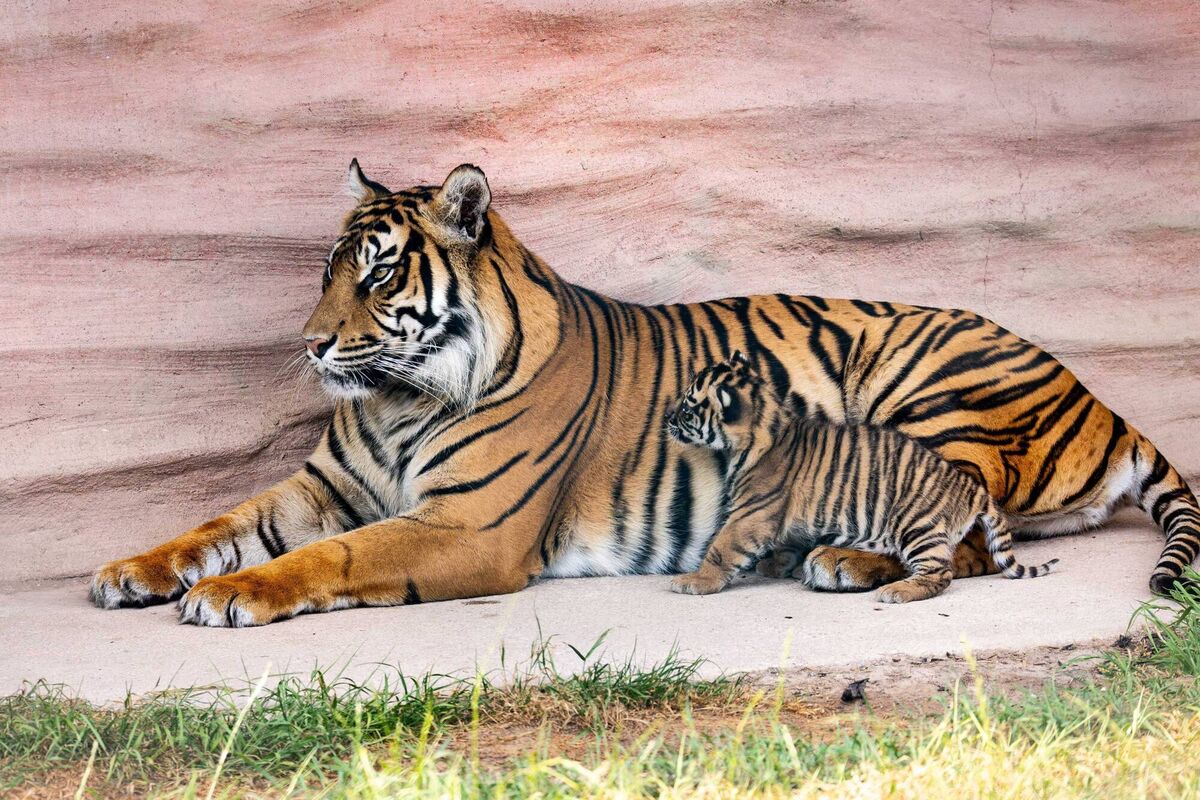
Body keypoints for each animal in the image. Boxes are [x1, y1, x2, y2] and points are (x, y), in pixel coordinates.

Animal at [665, 352, 1058, 602]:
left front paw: (695, 581)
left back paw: (897, 592)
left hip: (916, 524)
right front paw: (776, 564)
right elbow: (787, 541)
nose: (667, 418)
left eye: (687, 408)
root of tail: (973, 490)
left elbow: (722, 547)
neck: (763, 424)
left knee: (940, 572)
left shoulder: (752, 514)